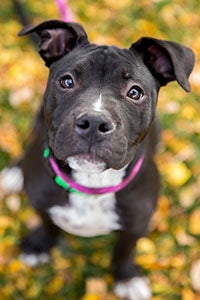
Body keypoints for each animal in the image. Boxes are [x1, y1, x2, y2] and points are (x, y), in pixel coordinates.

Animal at [3, 19, 195, 298]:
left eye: (135, 93)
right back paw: (14, 173)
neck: (92, 185)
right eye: (67, 81)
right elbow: (48, 222)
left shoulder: (137, 222)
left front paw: (127, 278)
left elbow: (123, 250)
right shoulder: (40, 200)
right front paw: (40, 245)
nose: (94, 122)